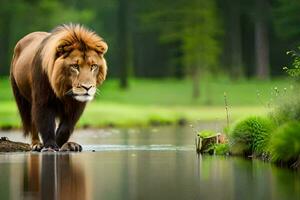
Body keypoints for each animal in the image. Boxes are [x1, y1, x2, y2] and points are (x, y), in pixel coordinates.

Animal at [10, 23, 109, 152]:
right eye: (75, 66)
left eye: (93, 66)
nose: (87, 87)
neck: (63, 88)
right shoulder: (43, 100)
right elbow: (46, 124)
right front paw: (50, 145)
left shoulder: (76, 106)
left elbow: (66, 128)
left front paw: (63, 144)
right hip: (23, 98)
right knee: (32, 122)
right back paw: (36, 144)